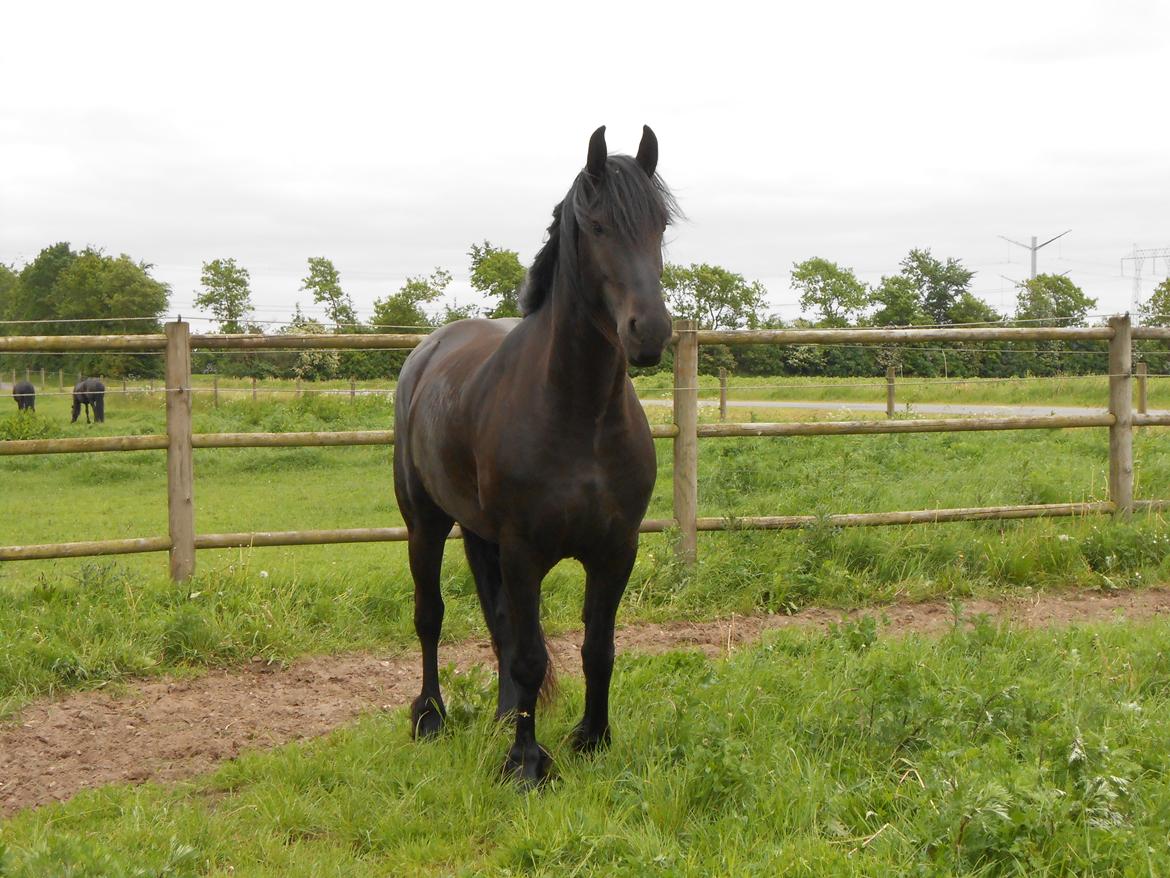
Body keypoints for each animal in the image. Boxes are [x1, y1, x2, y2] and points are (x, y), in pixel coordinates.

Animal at [393, 122, 678, 782]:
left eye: (660, 225)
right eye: (597, 226)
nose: (649, 331)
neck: (580, 418)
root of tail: (428, 351)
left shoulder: (615, 550)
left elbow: (597, 648)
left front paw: (592, 738)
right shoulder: (524, 551)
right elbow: (528, 654)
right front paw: (525, 765)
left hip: (479, 534)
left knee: (497, 622)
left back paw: (502, 716)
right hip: (426, 523)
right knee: (430, 616)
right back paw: (431, 717)